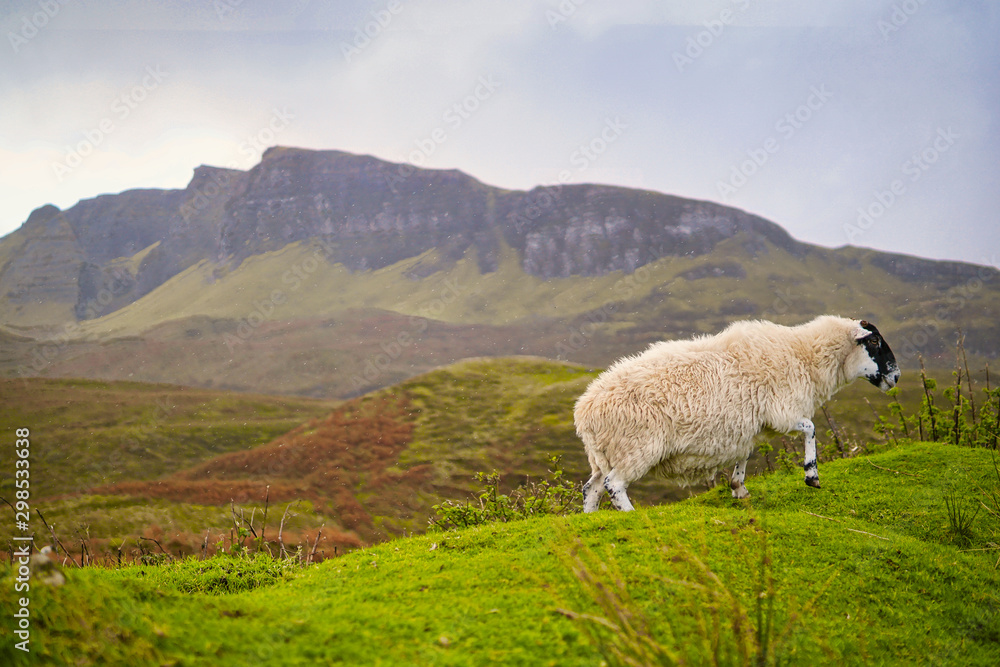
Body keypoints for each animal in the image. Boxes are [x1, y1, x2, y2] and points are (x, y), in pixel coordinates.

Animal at [575, 316, 900, 511]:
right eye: (873, 341)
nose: (896, 377)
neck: (804, 354)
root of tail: (585, 411)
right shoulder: (782, 411)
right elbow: (811, 428)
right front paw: (811, 475)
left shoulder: (748, 424)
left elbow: (744, 454)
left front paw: (738, 488)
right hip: (636, 447)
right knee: (614, 485)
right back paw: (629, 513)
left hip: (603, 454)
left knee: (592, 488)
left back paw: (592, 517)